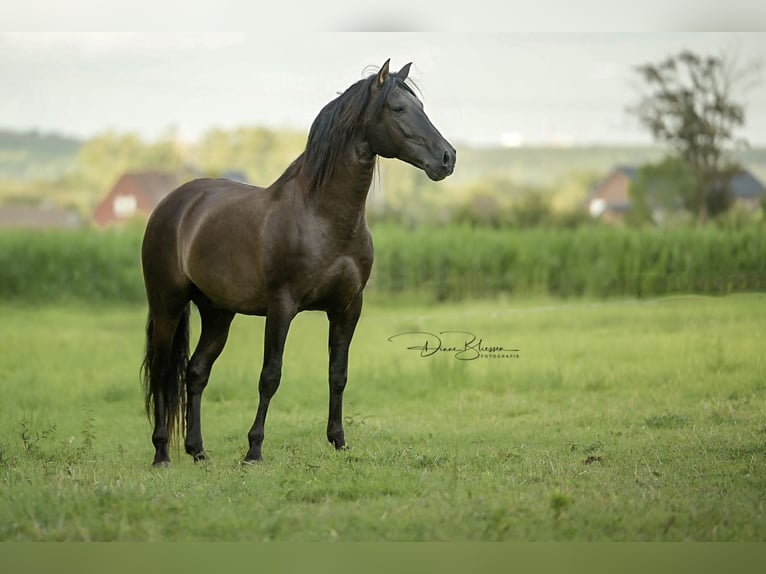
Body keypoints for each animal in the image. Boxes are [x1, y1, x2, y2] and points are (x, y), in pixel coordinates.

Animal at [140, 59, 456, 468]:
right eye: (398, 109)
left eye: (422, 108)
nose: (448, 158)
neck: (323, 217)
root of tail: (173, 203)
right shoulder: (282, 306)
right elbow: (270, 376)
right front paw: (254, 450)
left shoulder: (347, 307)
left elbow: (338, 373)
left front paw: (338, 441)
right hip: (168, 305)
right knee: (163, 372)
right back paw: (162, 452)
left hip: (217, 313)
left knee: (195, 372)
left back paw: (198, 451)